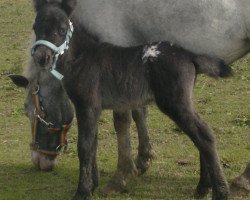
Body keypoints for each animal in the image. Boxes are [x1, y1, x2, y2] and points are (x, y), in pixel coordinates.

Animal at [30, 0, 232, 199]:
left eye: (62, 29)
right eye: (35, 27)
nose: (41, 57)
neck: (82, 57)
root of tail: (189, 55)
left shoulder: (87, 105)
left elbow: (85, 147)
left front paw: (82, 192)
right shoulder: (92, 109)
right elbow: (93, 144)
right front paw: (93, 185)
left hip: (175, 102)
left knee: (203, 135)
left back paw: (221, 191)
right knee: (200, 134)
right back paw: (203, 187)